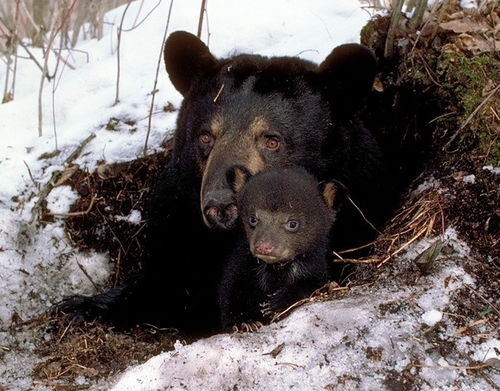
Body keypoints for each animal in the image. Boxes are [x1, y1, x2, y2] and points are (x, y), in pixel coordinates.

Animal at [221, 167, 338, 332]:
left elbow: (312, 284)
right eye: (252, 219)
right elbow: (232, 290)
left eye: (293, 223)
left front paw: (275, 303)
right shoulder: (242, 264)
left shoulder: (313, 266)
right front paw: (245, 322)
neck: (277, 268)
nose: (264, 247)